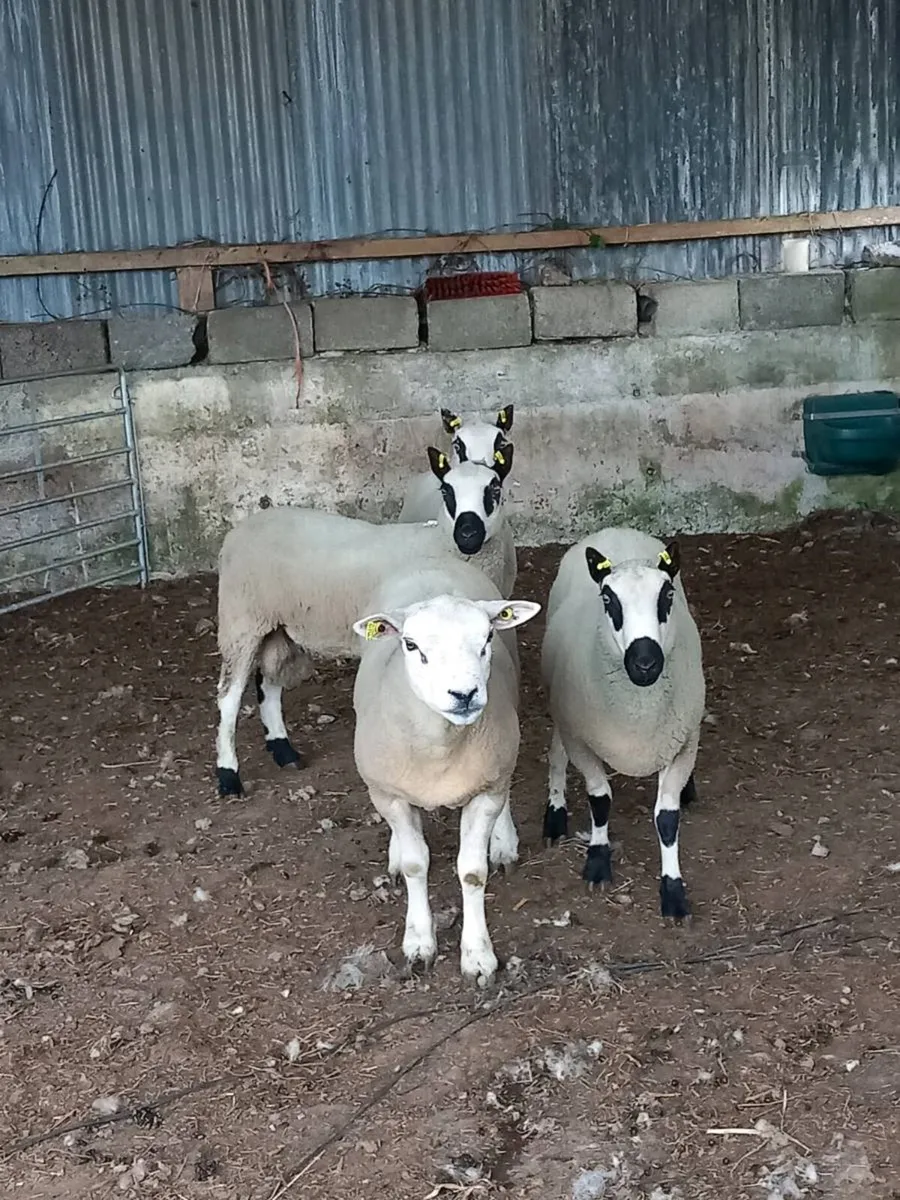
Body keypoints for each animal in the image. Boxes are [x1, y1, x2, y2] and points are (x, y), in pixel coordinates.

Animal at [214, 472, 513, 798]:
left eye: (494, 488)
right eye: (447, 491)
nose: (468, 535)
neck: (440, 539)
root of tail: (239, 530)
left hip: (275, 624)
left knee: (268, 682)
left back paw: (283, 751)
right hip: (240, 620)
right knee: (229, 697)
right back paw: (228, 775)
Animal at [351, 558, 540, 980]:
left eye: (488, 637)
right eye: (411, 644)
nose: (464, 694)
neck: (440, 748)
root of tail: (431, 558)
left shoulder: (486, 789)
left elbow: (472, 872)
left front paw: (478, 955)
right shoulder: (386, 793)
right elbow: (414, 863)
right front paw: (419, 942)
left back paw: (503, 842)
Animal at [540, 527, 706, 920]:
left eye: (667, 595)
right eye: (607, 599)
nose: (645, 663)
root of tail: (614, 531)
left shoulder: (683, 739)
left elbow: (667, 819)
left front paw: (673, 892)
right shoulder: (581, 741)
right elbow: (600, 800)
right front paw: (598, 862)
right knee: (556, 753)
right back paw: (555, 815)